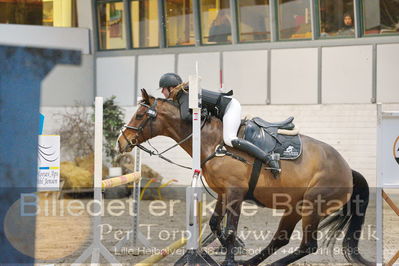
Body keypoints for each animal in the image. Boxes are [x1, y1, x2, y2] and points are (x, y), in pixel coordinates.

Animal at [117, 89, 374, 266]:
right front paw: (226, 250)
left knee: (307, 246)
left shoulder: (235, 192)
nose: (121, 142)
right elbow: (215, 224)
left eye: (139, 114)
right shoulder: (223, 193)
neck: (214, 142)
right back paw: (250, 262)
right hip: (294, 207)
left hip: (312, 206)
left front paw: (229, 259)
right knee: (281, 239)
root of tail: (348, 170)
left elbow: (230, 230)